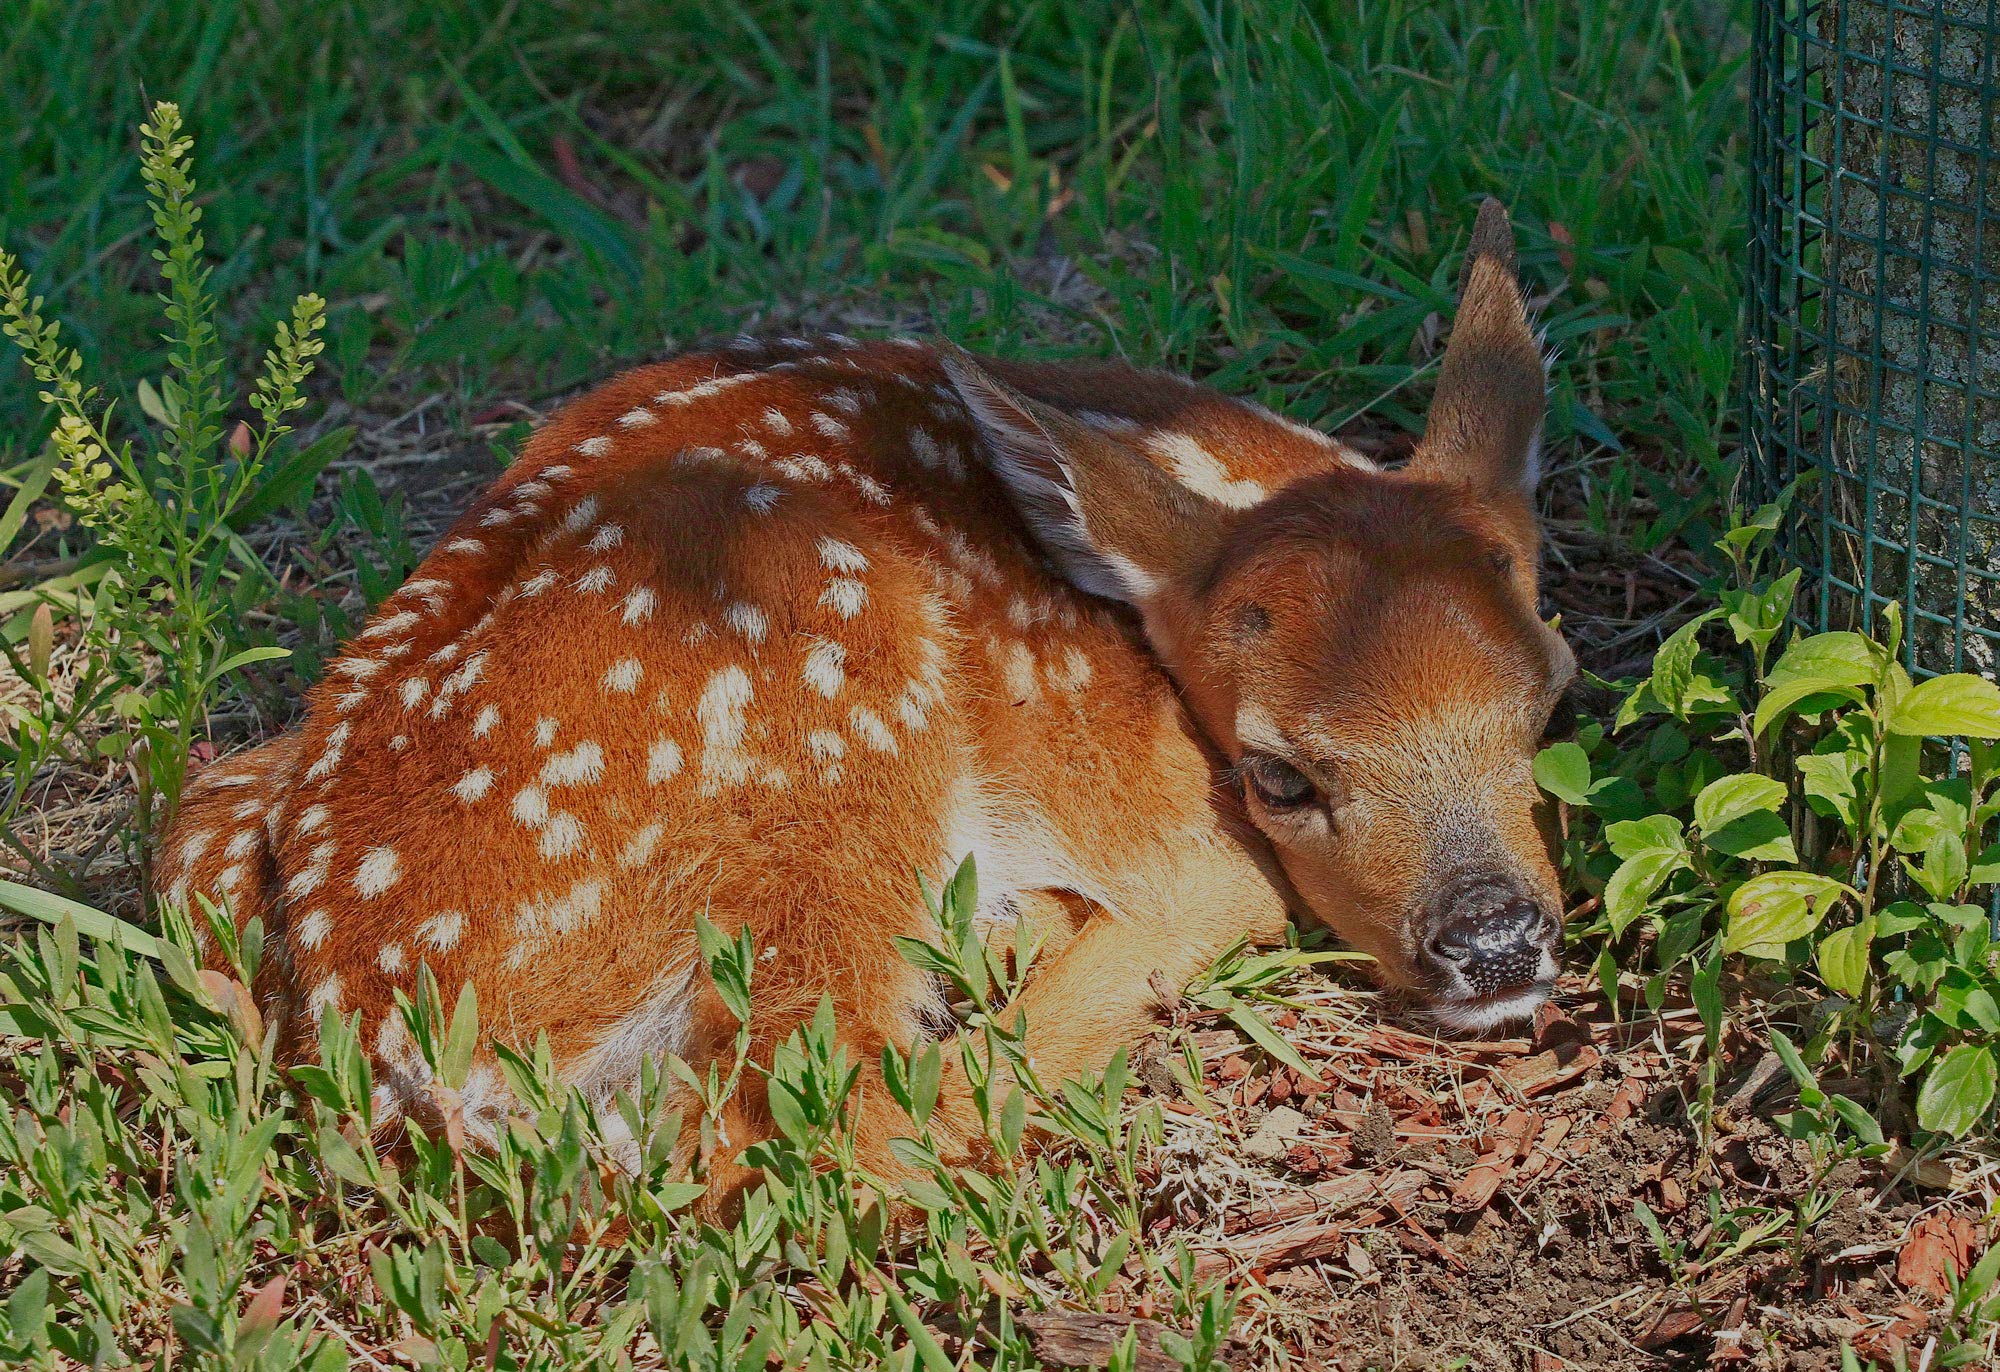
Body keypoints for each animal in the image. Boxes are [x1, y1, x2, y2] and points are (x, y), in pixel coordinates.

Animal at [157, 199, 1574, 1203]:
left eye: (1545, 697)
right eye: (1280, 774)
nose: (1497, 940)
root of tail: (381, 1011)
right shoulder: (1172, 826)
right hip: (827, 710)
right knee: (819, 1127)